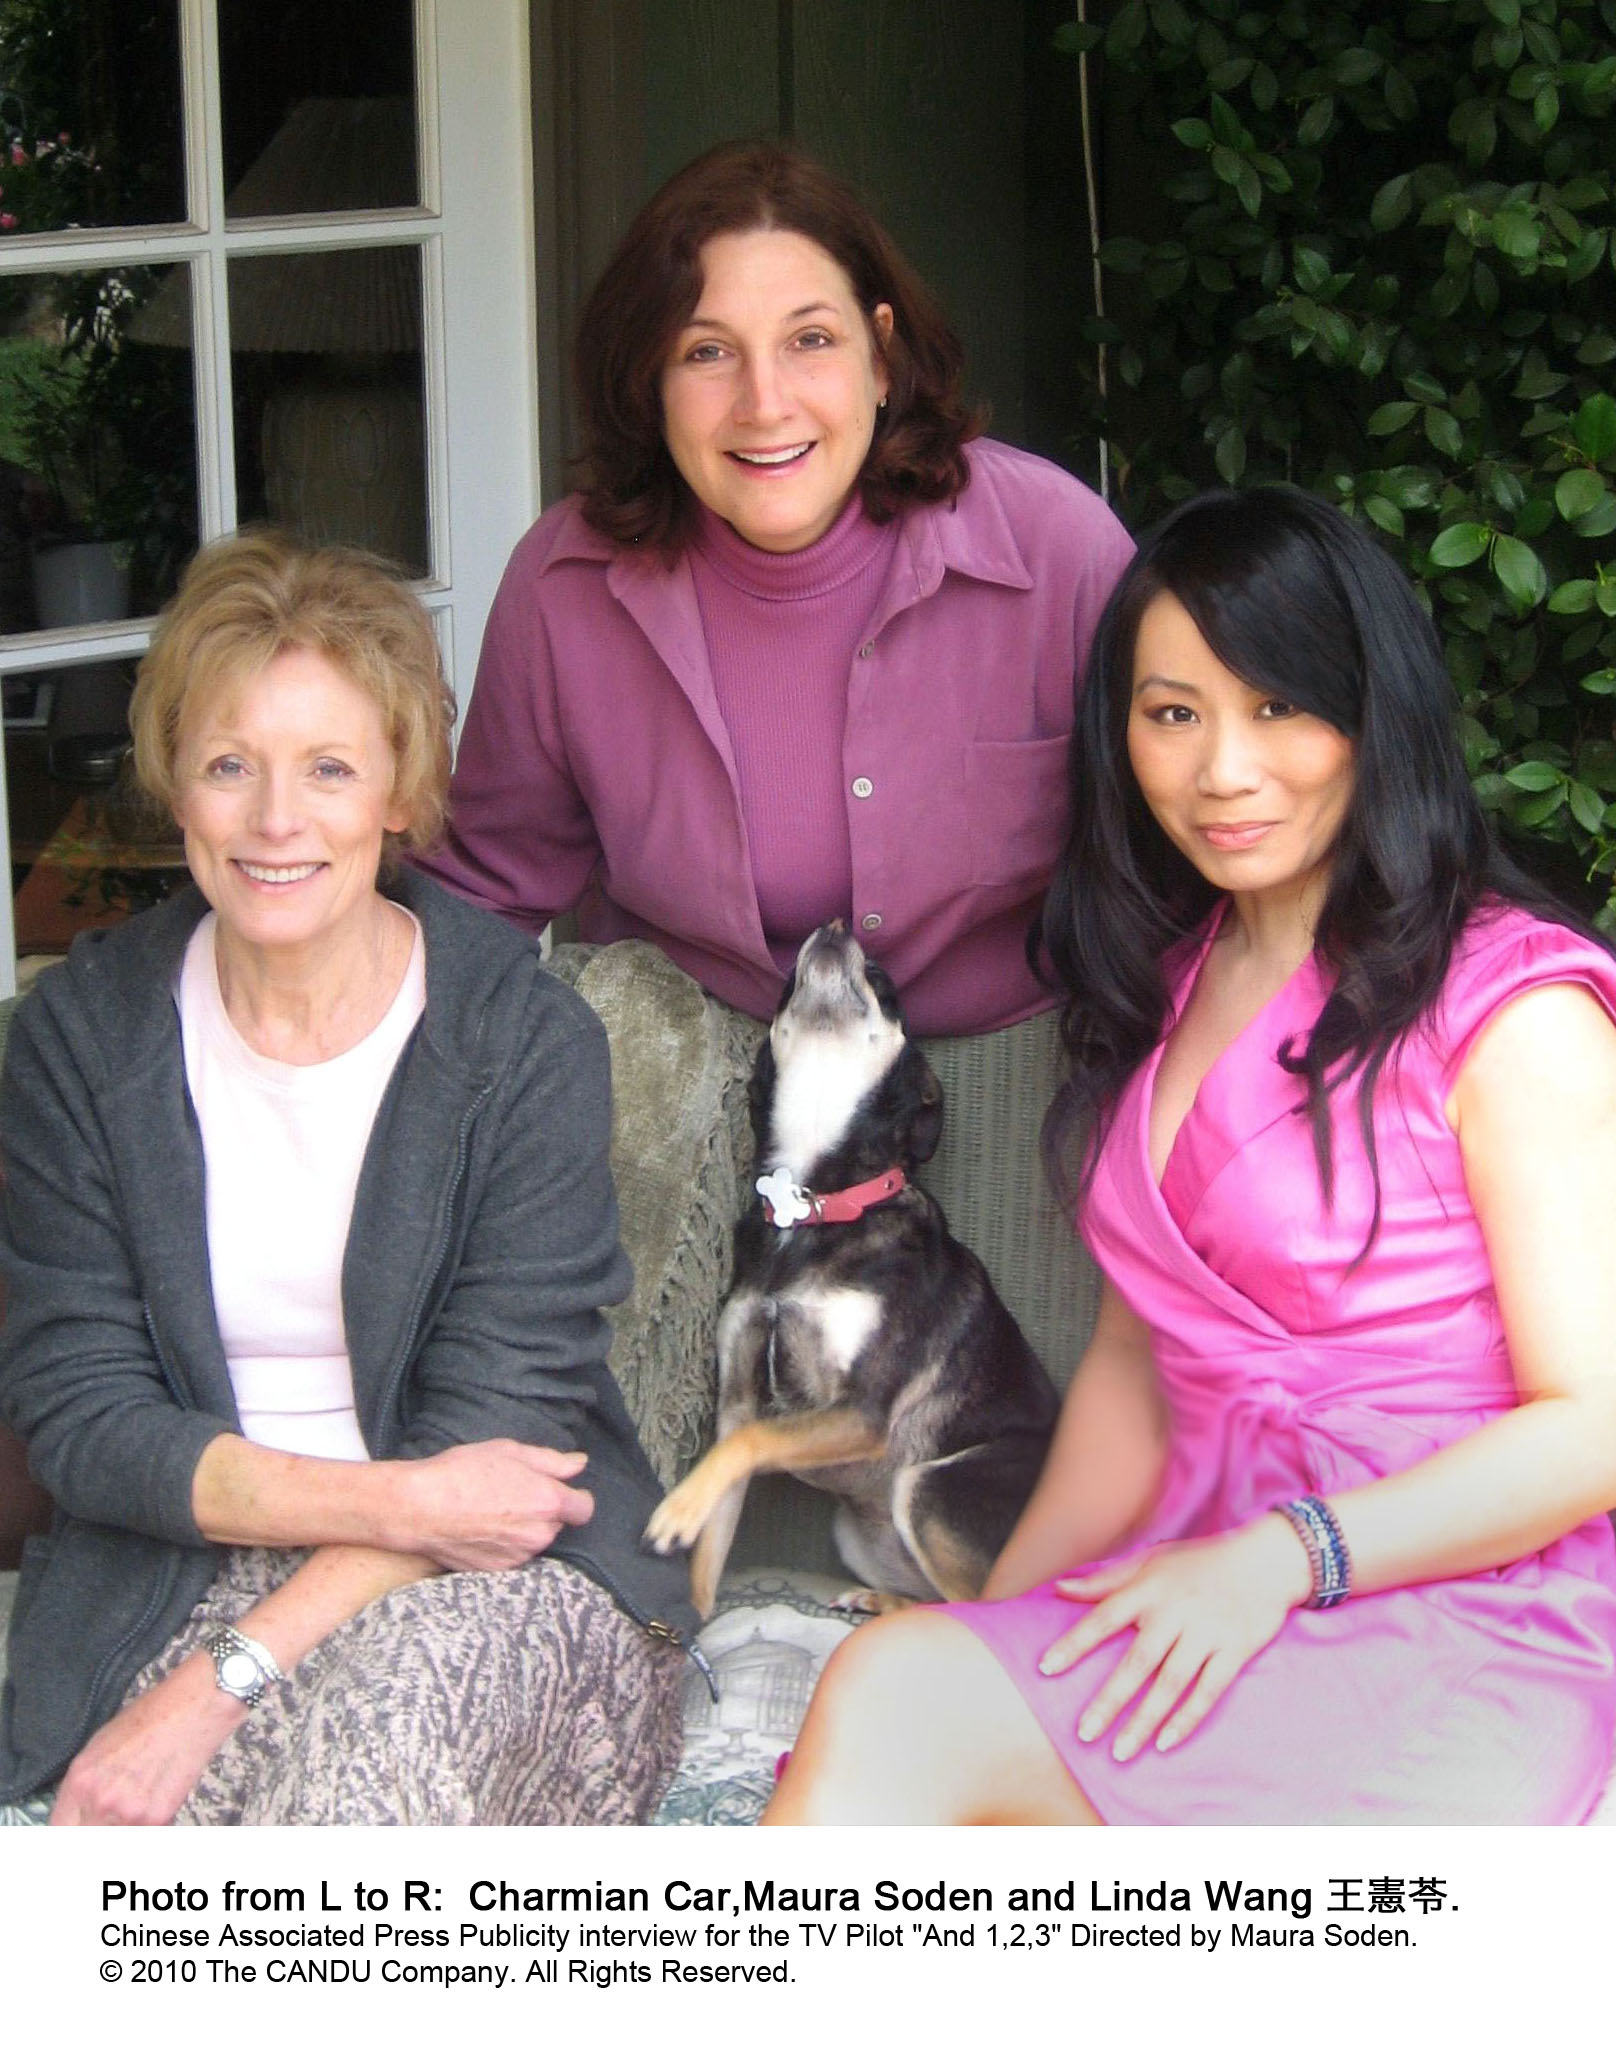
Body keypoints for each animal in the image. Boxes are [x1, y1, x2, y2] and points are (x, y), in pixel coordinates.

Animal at [643, 920, 1064, 1609]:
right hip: (860, 1533)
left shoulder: (861, 1411)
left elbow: (755, 1440)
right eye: (787, 987)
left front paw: (673, 1512)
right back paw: (875, 1602)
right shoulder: (735, 1401)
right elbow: (711, 1544)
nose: (837, 926)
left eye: (885, 986)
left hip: (929, 1489)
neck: (816, 1205)